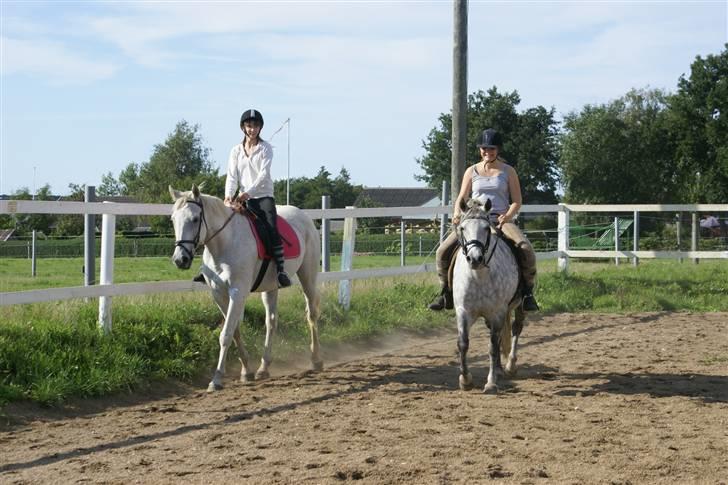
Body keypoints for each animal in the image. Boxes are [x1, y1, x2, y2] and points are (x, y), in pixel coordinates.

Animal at [171, 183, 324, 392]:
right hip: (271, 286)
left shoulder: (238, 292)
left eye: (194, 219)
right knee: (272, 321)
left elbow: (226, 334)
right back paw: (263, 367)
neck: (224, 244)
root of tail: (304, 215)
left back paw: (316, 359)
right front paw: (246, 371)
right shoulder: (218, 294)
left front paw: (216, 379)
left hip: (308, 275)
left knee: (311, 314)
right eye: (173, 219)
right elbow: (234, 330)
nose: (180, 259)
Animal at [452, 197, 528, 394]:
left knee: (516, 328)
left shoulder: (498, 312)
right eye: (462, 228)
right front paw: (466, 380)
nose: (475, 259)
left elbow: (493, 346)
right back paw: (501, 369)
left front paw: (491, 382)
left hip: (519, 305)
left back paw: (510, 366)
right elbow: (463, 343)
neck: (479, 275)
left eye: (486, 228)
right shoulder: (463, 311)